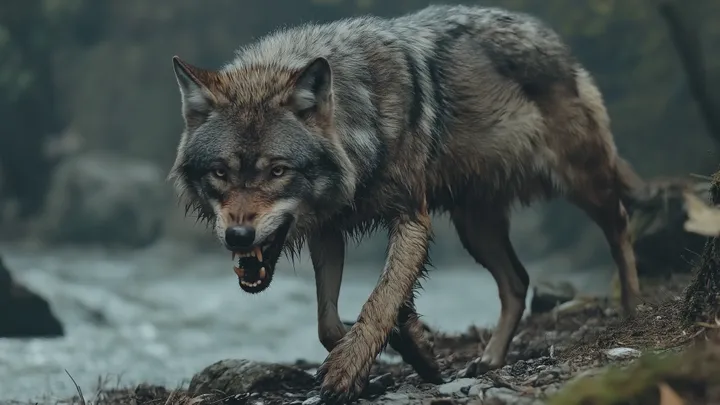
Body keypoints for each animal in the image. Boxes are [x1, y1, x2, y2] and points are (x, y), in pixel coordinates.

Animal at [169, 4, 644, 403]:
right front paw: (415, 345)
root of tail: (546, 33)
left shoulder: (411, 217)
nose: (238, 235)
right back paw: (489, 359)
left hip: (583, 183)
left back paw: (632, 308)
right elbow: (330, 323)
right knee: (518, 281)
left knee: (620, 225)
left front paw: (348, 371)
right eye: (220, 173)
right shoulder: (329, 229)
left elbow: (380, 300)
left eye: (277, 171)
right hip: (475, 228)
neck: (361, 129)